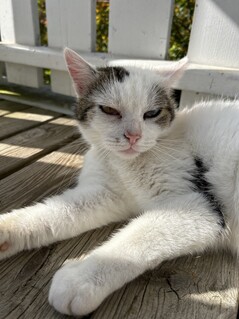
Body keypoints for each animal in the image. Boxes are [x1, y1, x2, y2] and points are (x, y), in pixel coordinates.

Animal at [0, 48, 239, 318]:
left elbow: (138, 237)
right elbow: (56, 212)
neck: (125, 165)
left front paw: (80, 278)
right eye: (110, 110)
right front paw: (6, 228)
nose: (133, 136)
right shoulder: (107, 194)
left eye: (152, 113)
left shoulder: (196, 205)